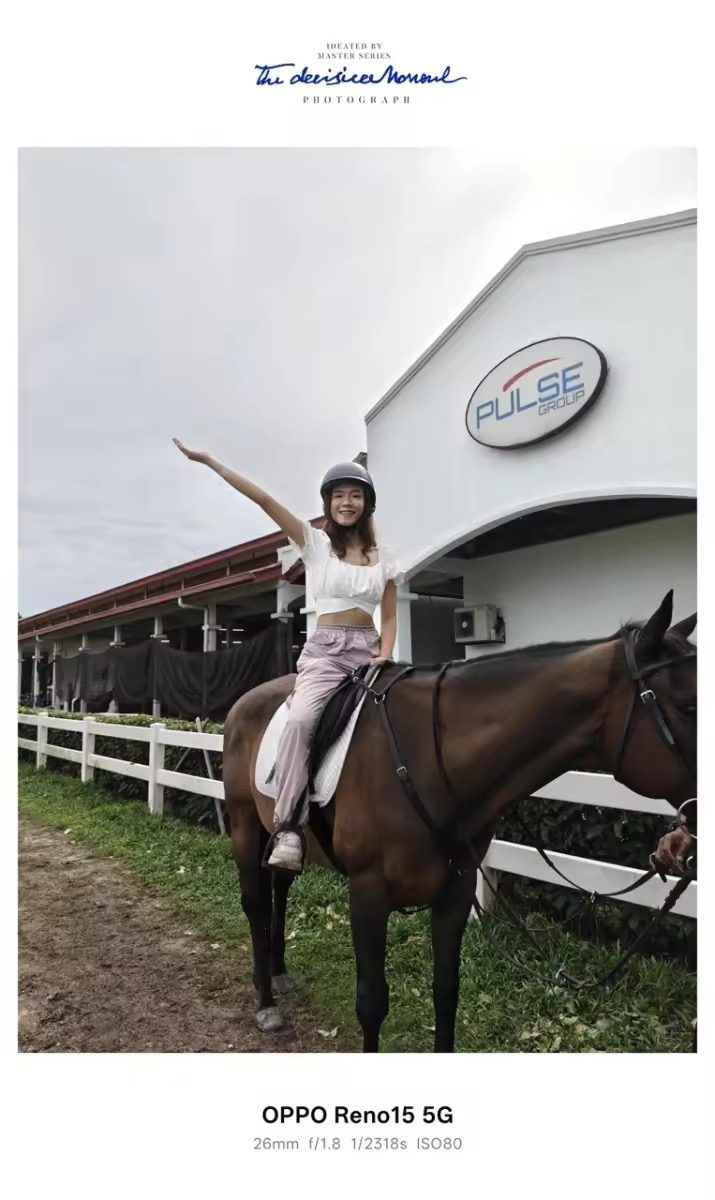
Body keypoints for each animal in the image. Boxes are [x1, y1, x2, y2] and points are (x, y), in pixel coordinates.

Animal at [221, 590, 697, 1052]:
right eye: (690, 706)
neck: (429, 757)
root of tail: (242, 702)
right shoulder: (368, 892)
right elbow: (371, 1003)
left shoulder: (457, 889)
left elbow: (446, 992)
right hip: (245, 822)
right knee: (256, 903)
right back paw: (266, 1002)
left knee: (280, 888)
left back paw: (278, 972)